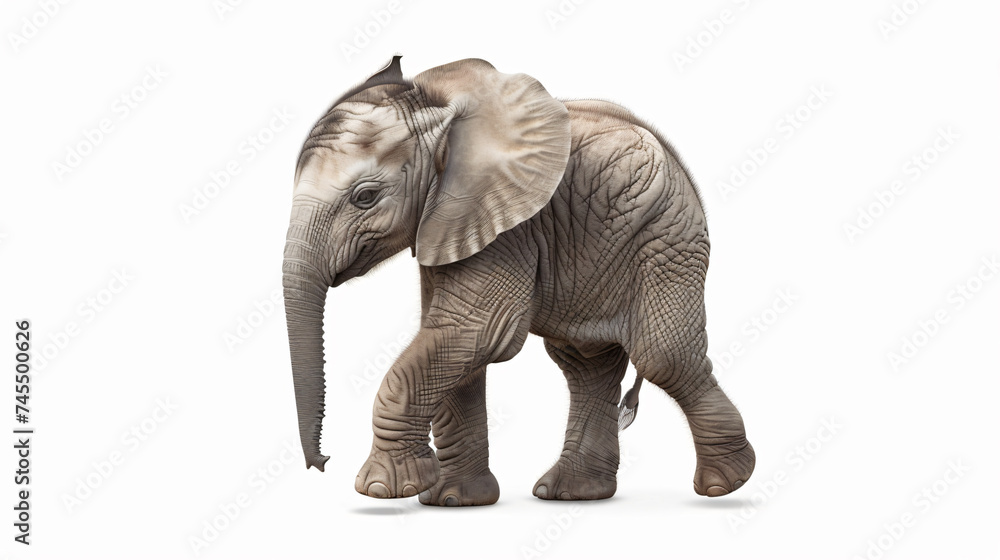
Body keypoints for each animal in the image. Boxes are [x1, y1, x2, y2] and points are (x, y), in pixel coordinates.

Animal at [283, 56, 755, 506]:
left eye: (365, 197)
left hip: (665, 236)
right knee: (585, 364)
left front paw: (384, 489)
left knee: (662, 356)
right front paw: (452, 500)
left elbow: (477, 332)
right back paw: (572, 493)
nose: (323, 461)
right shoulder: (450, 223)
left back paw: (724, 484)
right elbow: (455, 343)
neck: (440, 107)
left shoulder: (506, 224)